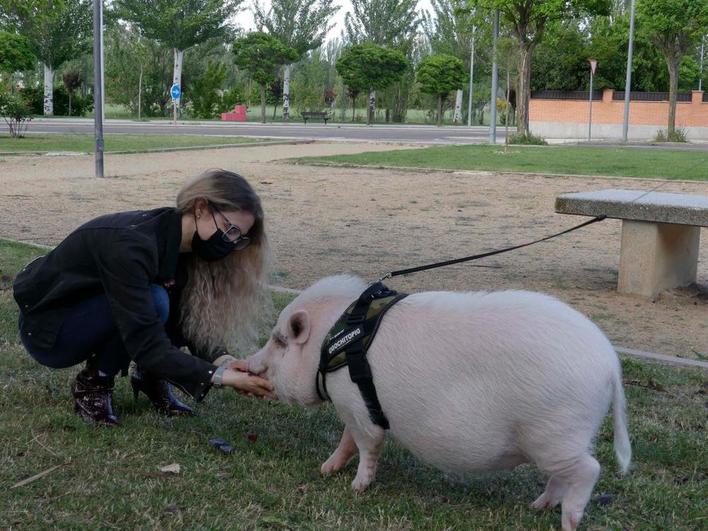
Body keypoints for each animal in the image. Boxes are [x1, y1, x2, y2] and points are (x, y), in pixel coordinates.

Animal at [248, 276, 632, 528]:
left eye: (280, 341)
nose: (252, 364)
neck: (333, 344)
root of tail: (609, 363)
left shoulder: (358, 406)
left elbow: (369, 443)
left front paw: (357, 487)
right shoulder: (353, 407)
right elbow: (347, 438)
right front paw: (326, 470)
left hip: (556, 432)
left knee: (589, 469)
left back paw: (568, 520)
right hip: (559, 440)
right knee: (562, 476)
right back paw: (537, 506)